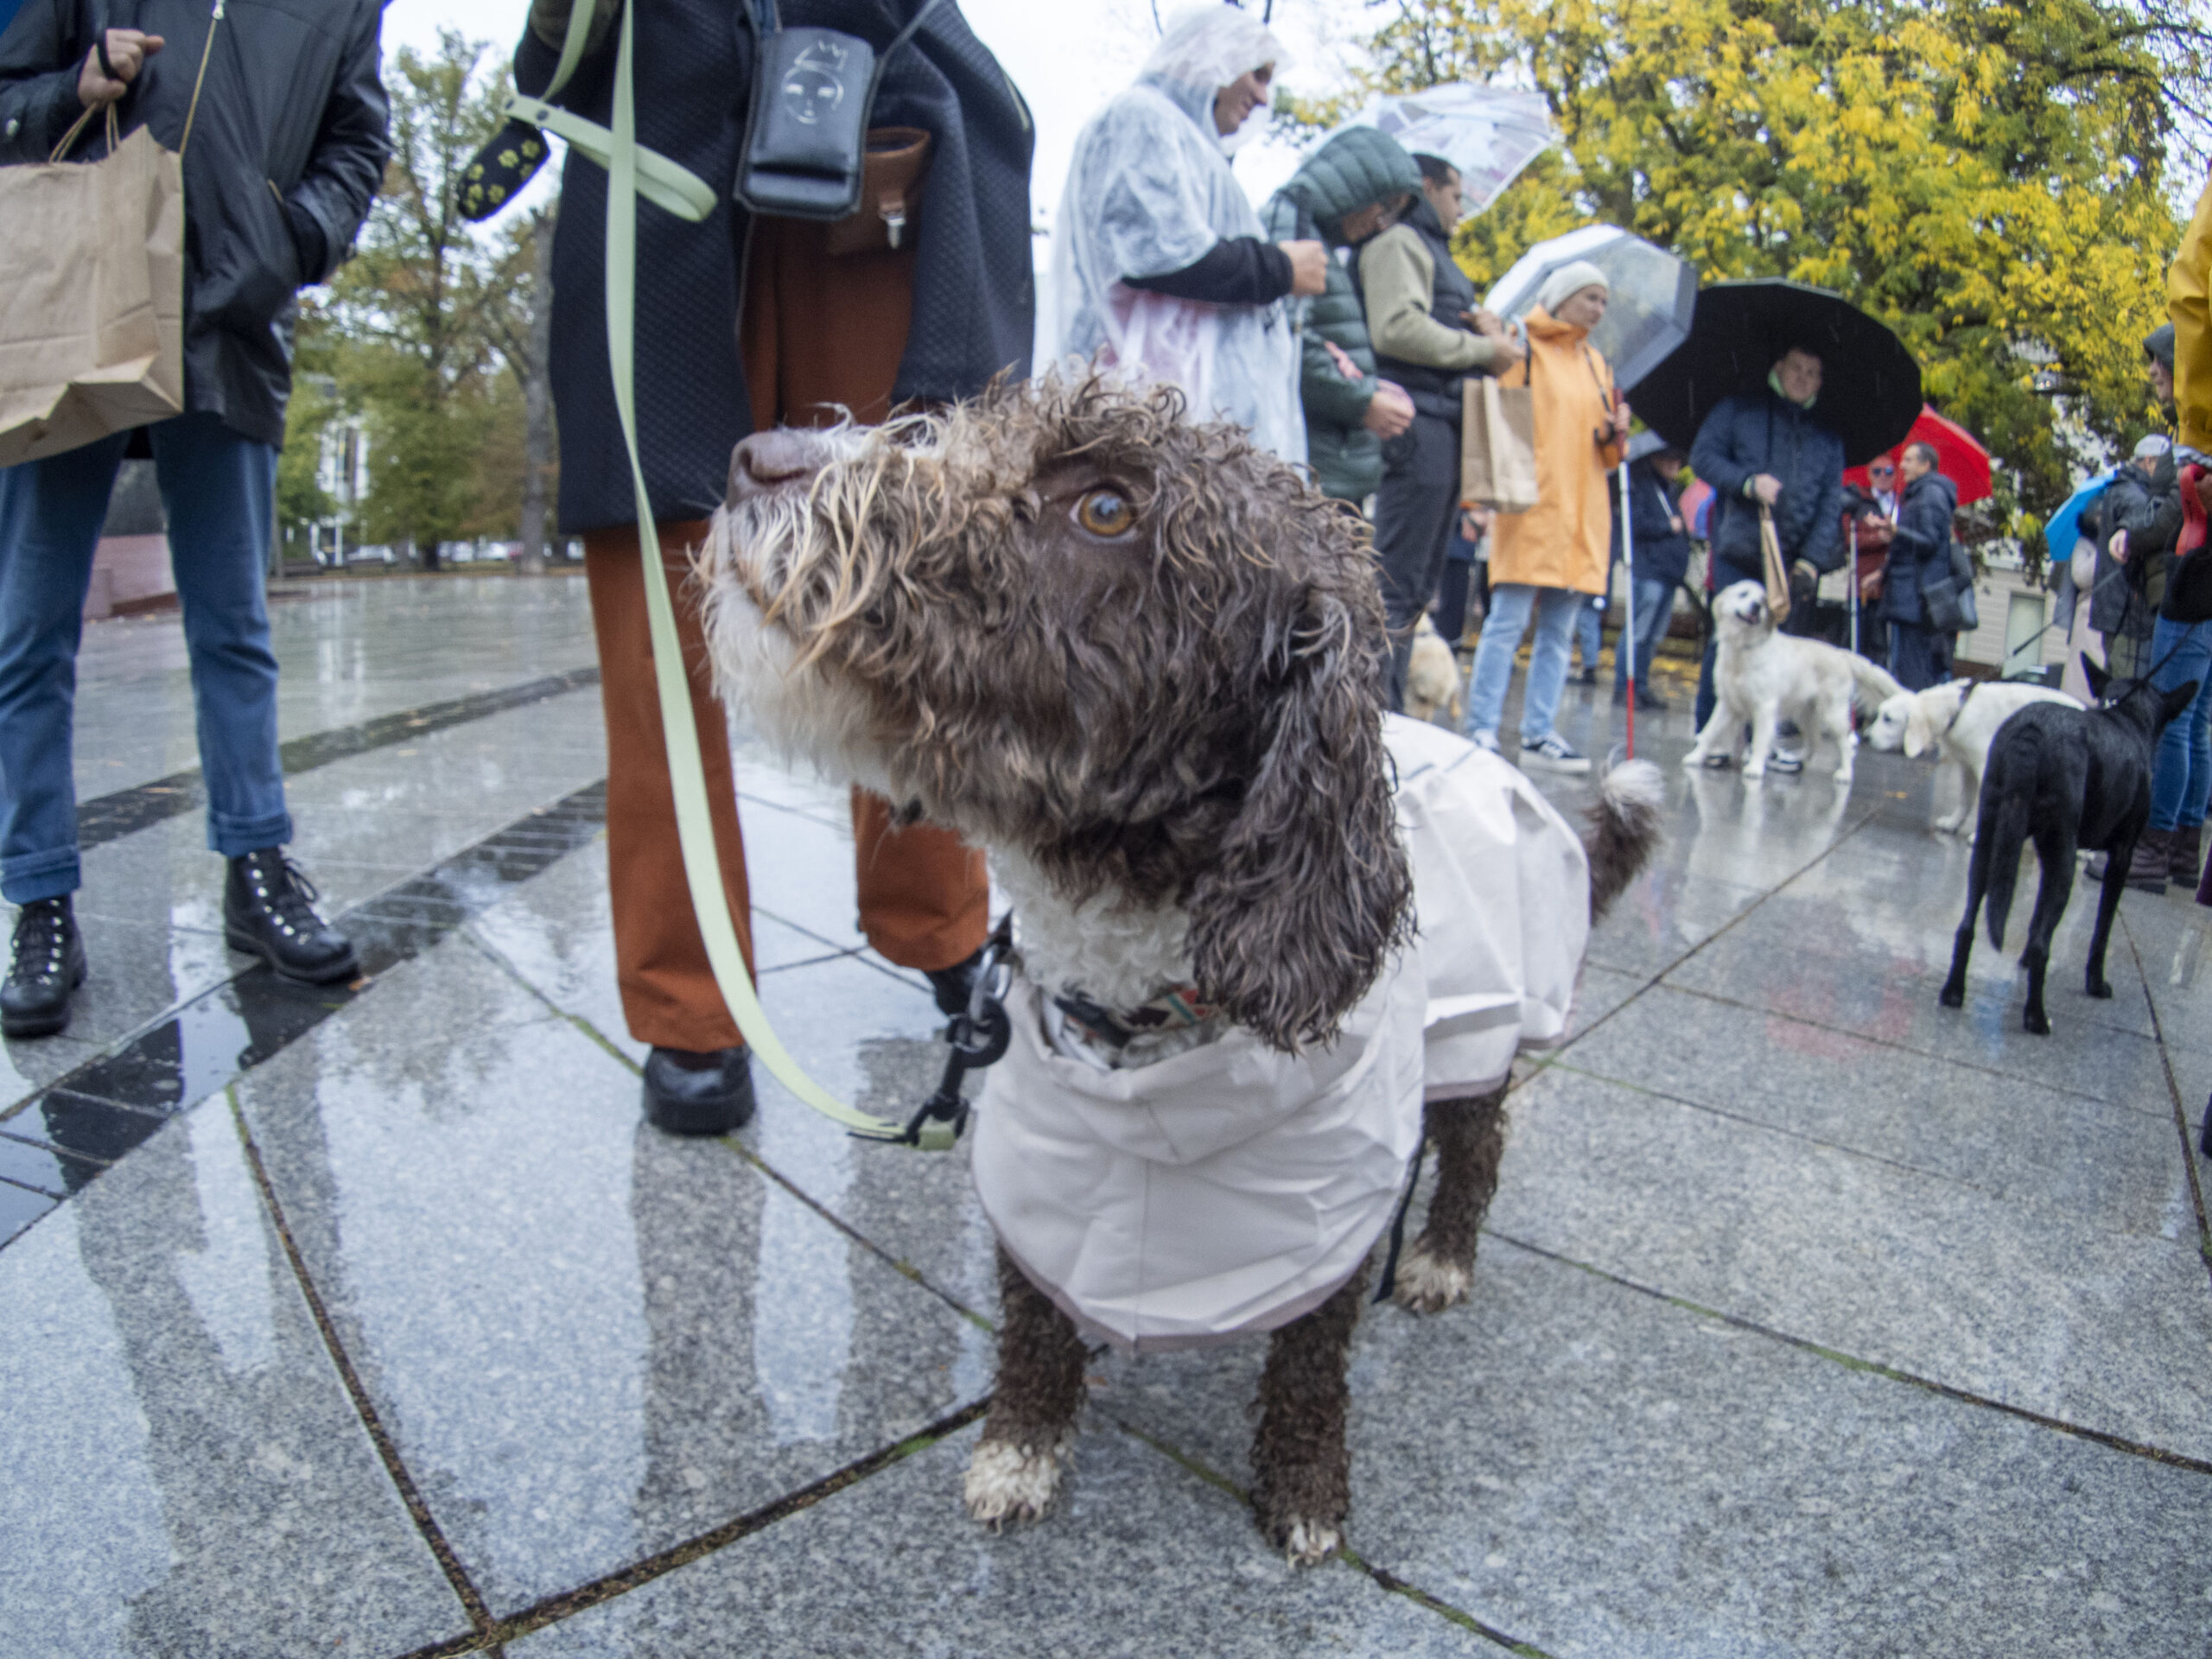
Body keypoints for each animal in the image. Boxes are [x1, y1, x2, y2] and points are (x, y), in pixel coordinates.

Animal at [1681, 583, 1910, 787]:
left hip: (1833, 714)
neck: (1743, 648)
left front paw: (1755, 768)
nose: (1756, 606)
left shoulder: (1765, 706)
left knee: (1846, 745)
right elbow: (1709, 732)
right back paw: (1792, 761)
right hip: (1805, 714)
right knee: (1813, 743)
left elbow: (1759, 740)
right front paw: (1695, 757)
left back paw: (1844, 774)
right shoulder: (1727, 704)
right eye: (1743, 594)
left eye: (1763, 601)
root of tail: (1842, 654)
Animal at [1866, 677, 2070, 836]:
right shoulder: (1967, 767)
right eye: (1879, 714)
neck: (1958, 710)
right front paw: (1952, 824)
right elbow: (1965, 800)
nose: (1866, 737)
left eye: (1888, 718)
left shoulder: (1985, 767)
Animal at [1937, 654, 2194, 1035]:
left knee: (1967, 926)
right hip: (2065, 863)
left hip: (1990, 844)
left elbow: (2035, 919)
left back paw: (1954, 992)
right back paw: (2036, 1017)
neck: (2127, 717)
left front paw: (2022, 962)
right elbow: (2101, 930)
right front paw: (2096, 984)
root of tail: (2032, 730)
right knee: (2043, 944)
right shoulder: (2121, 857)